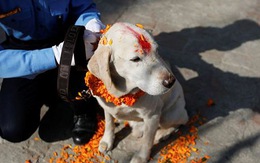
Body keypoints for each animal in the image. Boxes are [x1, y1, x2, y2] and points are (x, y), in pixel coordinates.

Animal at [87, 22, 189, 163]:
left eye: (157, 51)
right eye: (135, 59)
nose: (170, 82)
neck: (122, 95)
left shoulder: (153, 116)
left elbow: (147, 140)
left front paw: (141, 157)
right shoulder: (106, 108)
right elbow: (109, 124)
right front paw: (107, 140)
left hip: (168, 116)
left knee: (182, 121)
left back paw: (162, 134)